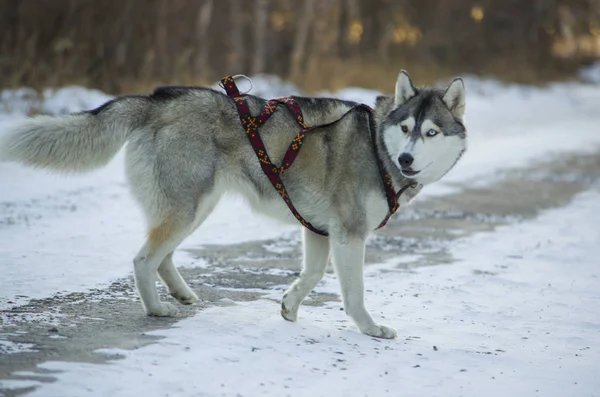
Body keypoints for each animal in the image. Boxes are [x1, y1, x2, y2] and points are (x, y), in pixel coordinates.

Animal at [0, 70, 466, 338]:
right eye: (405, 128)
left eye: (430, 132)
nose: (406, 160)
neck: (377, 148)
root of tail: (157, 100)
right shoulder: (349, 234)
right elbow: (353, 293)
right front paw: (370, 329)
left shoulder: (321, 229)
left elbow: (313, 275)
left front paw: (290, 307)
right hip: (188, 206)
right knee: (143, 259)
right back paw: (157, 308)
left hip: (196, 207)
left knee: (162, 256)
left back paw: (181, 293)